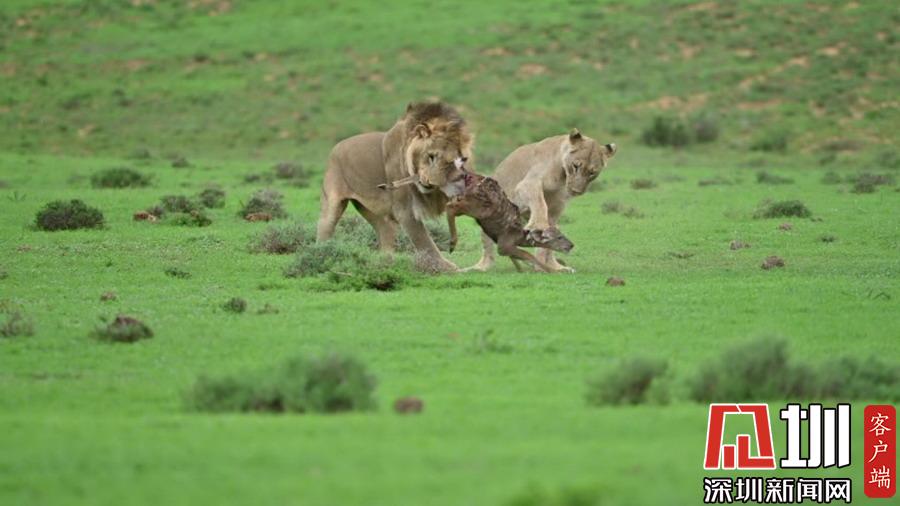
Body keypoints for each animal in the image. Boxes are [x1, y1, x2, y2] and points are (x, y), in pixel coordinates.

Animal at [317, 102, 474, 272]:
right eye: (430, 156)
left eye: (452, 161)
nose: (430, 182)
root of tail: (336, 147)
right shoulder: (404, 210)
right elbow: (423, 239)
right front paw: (446, 267)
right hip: (332, 202)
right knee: (325, 226)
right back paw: (322, 253)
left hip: (372, 210)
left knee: (385, 230)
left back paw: (386, 263)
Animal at [467, 129, 617, 273]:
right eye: (575, 166)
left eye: (592, 173)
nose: (576, 191)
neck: (562, 176)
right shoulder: (528, 183)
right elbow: (540, 203)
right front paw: (538, 224)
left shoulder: (558, 205)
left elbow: (547, 239)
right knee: (488, 250)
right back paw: (480, 267)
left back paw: (553, 267)